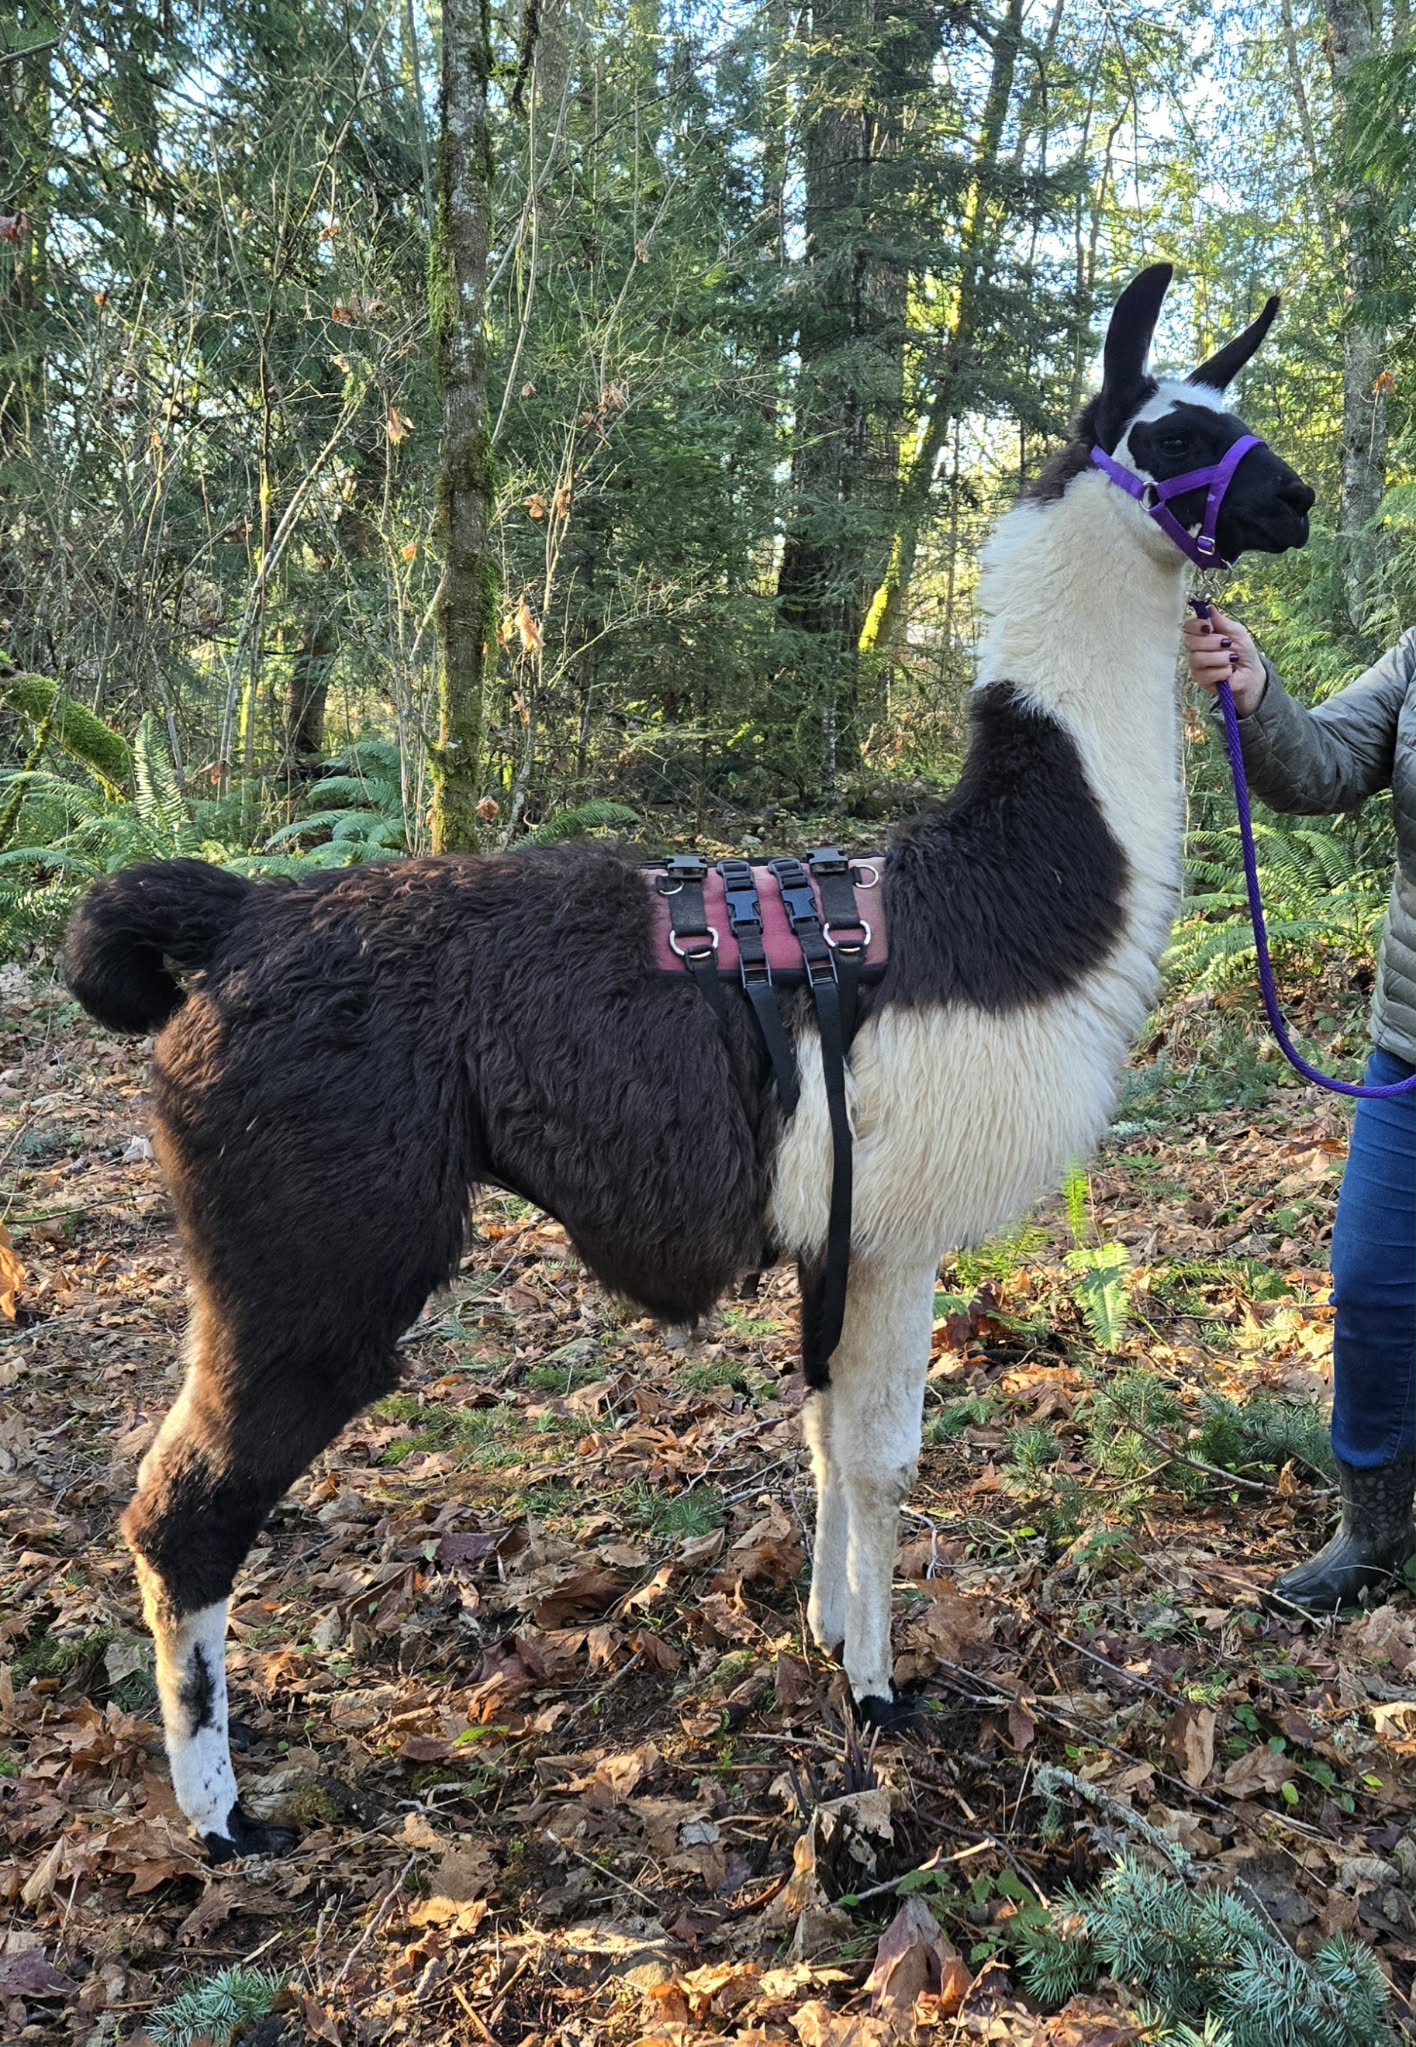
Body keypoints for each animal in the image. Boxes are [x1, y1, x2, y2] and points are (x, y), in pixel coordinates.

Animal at [62, 264, 1313, 1860]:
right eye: (1173, 434)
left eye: (1240, 410)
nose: (1295, 494)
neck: (1014, 898)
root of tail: (238, 918)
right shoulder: (900, 1230)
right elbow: (888, 1457)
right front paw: (884, 1695)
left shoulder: (843, 1225)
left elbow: (828, 1439)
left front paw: (831, 1640)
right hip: (313, 1244)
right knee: (187, 1507)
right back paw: (224, 1818)